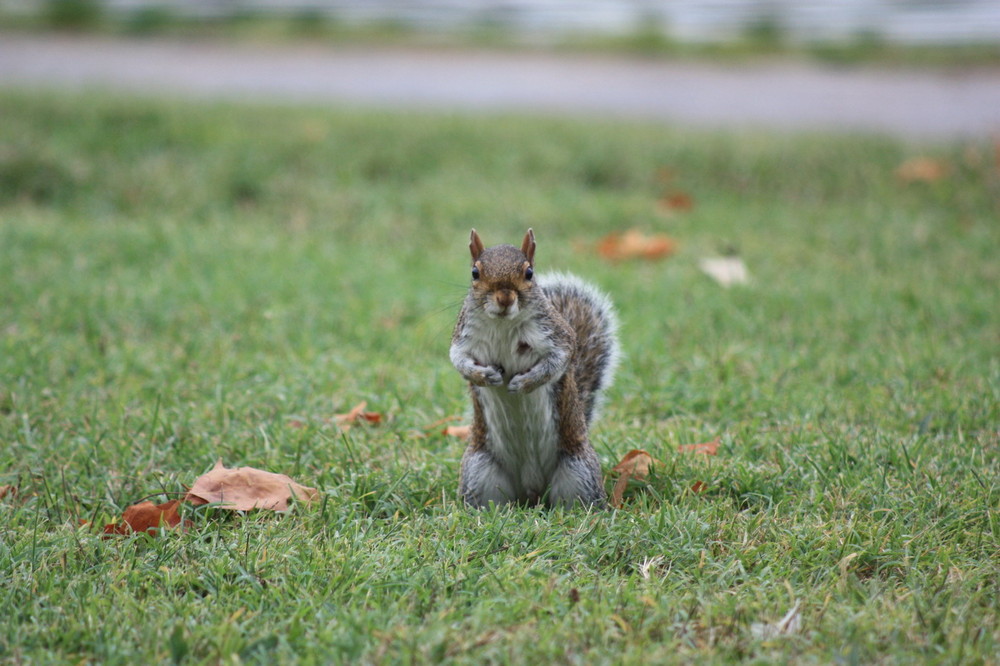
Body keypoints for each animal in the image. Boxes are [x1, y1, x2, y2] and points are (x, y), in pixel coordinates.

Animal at [452, 230, 616, 508]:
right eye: (475, 273)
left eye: (529, 273)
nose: (504, 298)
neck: (503, 324)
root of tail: (532, 492)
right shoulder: (463, 338)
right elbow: (458, 360)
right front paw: (484, 376)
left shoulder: (558, 336)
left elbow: (557, 362)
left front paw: (525, 382)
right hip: (480, 469)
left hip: (578, 470)